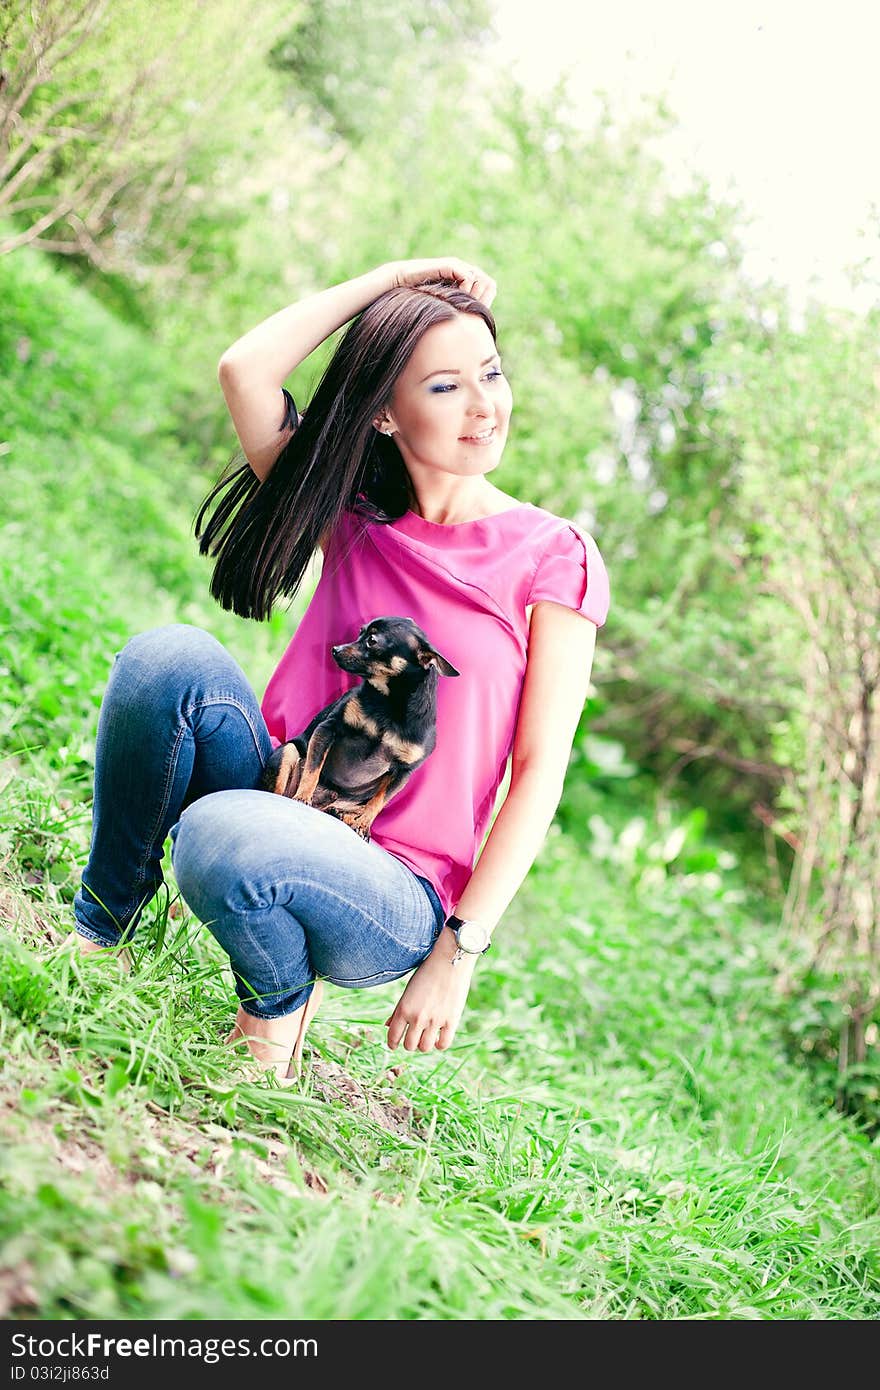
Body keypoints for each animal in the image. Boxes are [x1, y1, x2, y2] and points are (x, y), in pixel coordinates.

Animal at [257, 617, 455, 834]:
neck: (389, 703)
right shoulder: (328, 729)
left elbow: (378, 802)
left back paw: (346, 816)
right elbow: (312, 769)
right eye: (360, 632)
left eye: (372, 641)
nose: (335, 649)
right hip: (289, 752)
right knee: (278, 789)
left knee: (356, 806)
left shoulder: (403, 772)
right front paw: (303, 796)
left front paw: (363, 824)